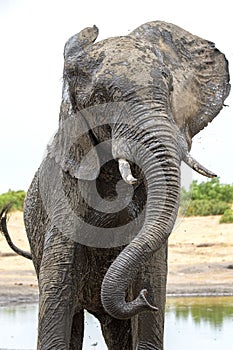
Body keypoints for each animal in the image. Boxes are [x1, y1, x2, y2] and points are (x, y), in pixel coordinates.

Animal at [0, 20, 229, 348]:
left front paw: (147, 298)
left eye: (170, 87)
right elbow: (59, 303)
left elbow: (150, 282)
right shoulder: (62, 197)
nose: (142, 299)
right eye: (103, 95)